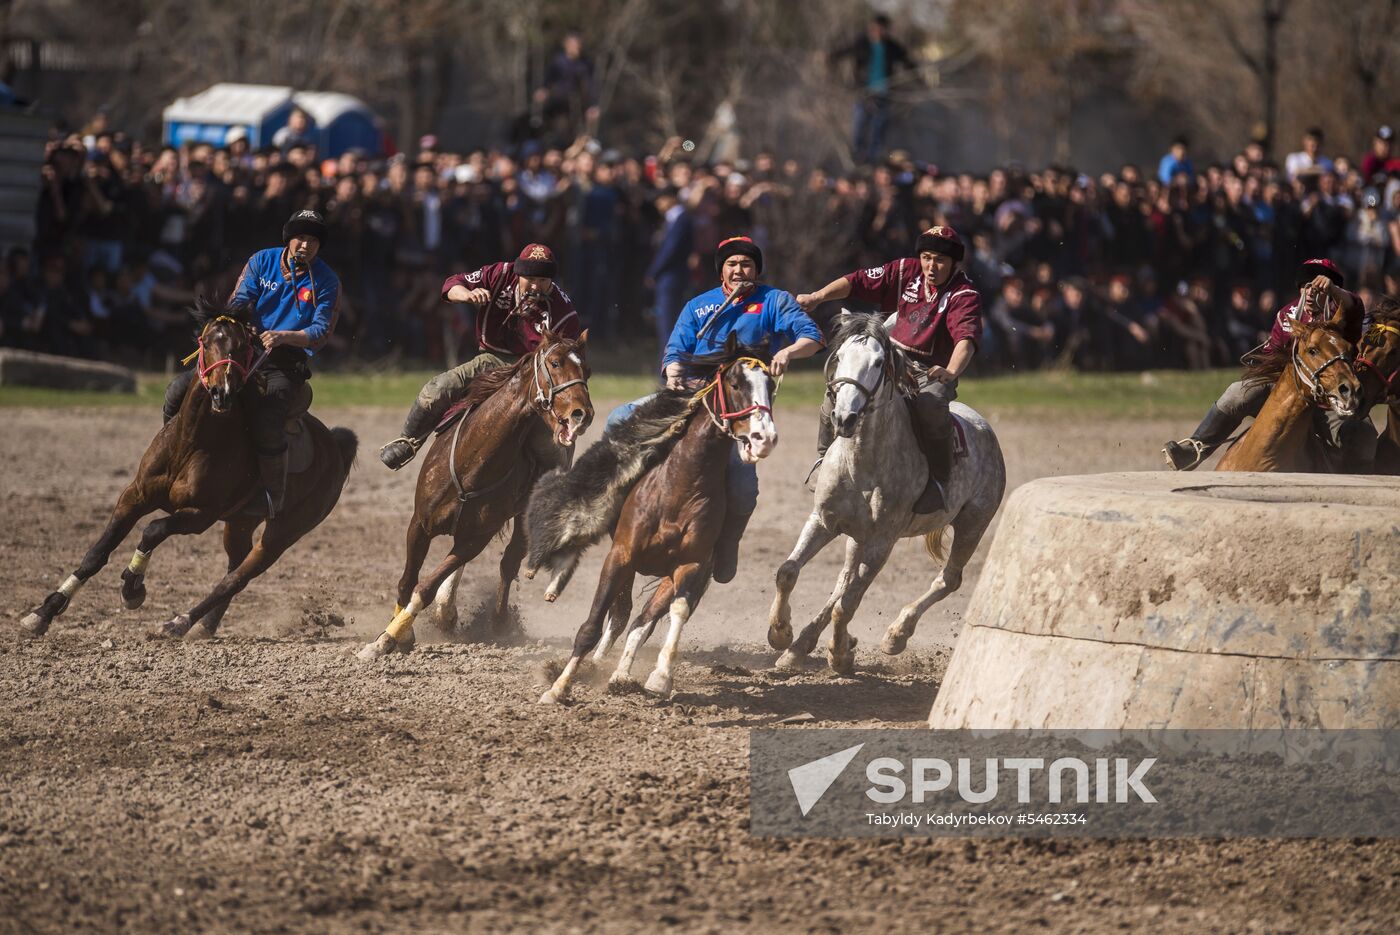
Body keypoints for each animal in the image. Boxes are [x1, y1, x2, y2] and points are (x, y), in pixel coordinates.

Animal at [19, 298, 357, 639]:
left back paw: (180, 621)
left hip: (283, 532)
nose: (222, 392)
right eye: (206, 341)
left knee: (238, 577)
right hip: (240, 521)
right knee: (234, 567)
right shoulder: (134, 496)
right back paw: (205, 626)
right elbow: (96, 553)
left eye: (243, 346)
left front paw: (132, 588)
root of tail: (335, 444)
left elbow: (152, 530)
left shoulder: (199, 515)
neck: (192, 442)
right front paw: (43, 613)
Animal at [356, 331, 593, 660]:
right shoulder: (419, 525)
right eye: (555, 363)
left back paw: (499, 623)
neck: (473, 463)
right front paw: (397, 632)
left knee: (508, 563)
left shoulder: (475, 540)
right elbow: (407, 581)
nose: (582, 415)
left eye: (588, 370)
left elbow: (425, 587)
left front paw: (388, 638)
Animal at [530, 338, 778, 703]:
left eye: (771, 387)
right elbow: (592, 625)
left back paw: (620, 675)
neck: (679, 485)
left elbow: (675, 613)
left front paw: (660, 678)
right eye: (735, 384)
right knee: (620, 614)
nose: (764, 438)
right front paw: (558, 687)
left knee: (640, 620)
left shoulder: (691, 564)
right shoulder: (621, 555)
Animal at [766, 312, 1006, 674]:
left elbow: (848, 603)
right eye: (839, 357)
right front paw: (780, 634)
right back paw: (800, 646)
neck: (861, 463)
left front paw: (838, 654)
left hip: (973, 523)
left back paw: (895, 635)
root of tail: (985, 427)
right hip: (856, 537)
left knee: (948, 580)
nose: (844, 417)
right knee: (843, 580)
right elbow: (788, 572)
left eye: (879, 362)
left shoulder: (883, 542)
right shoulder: (823, 521)